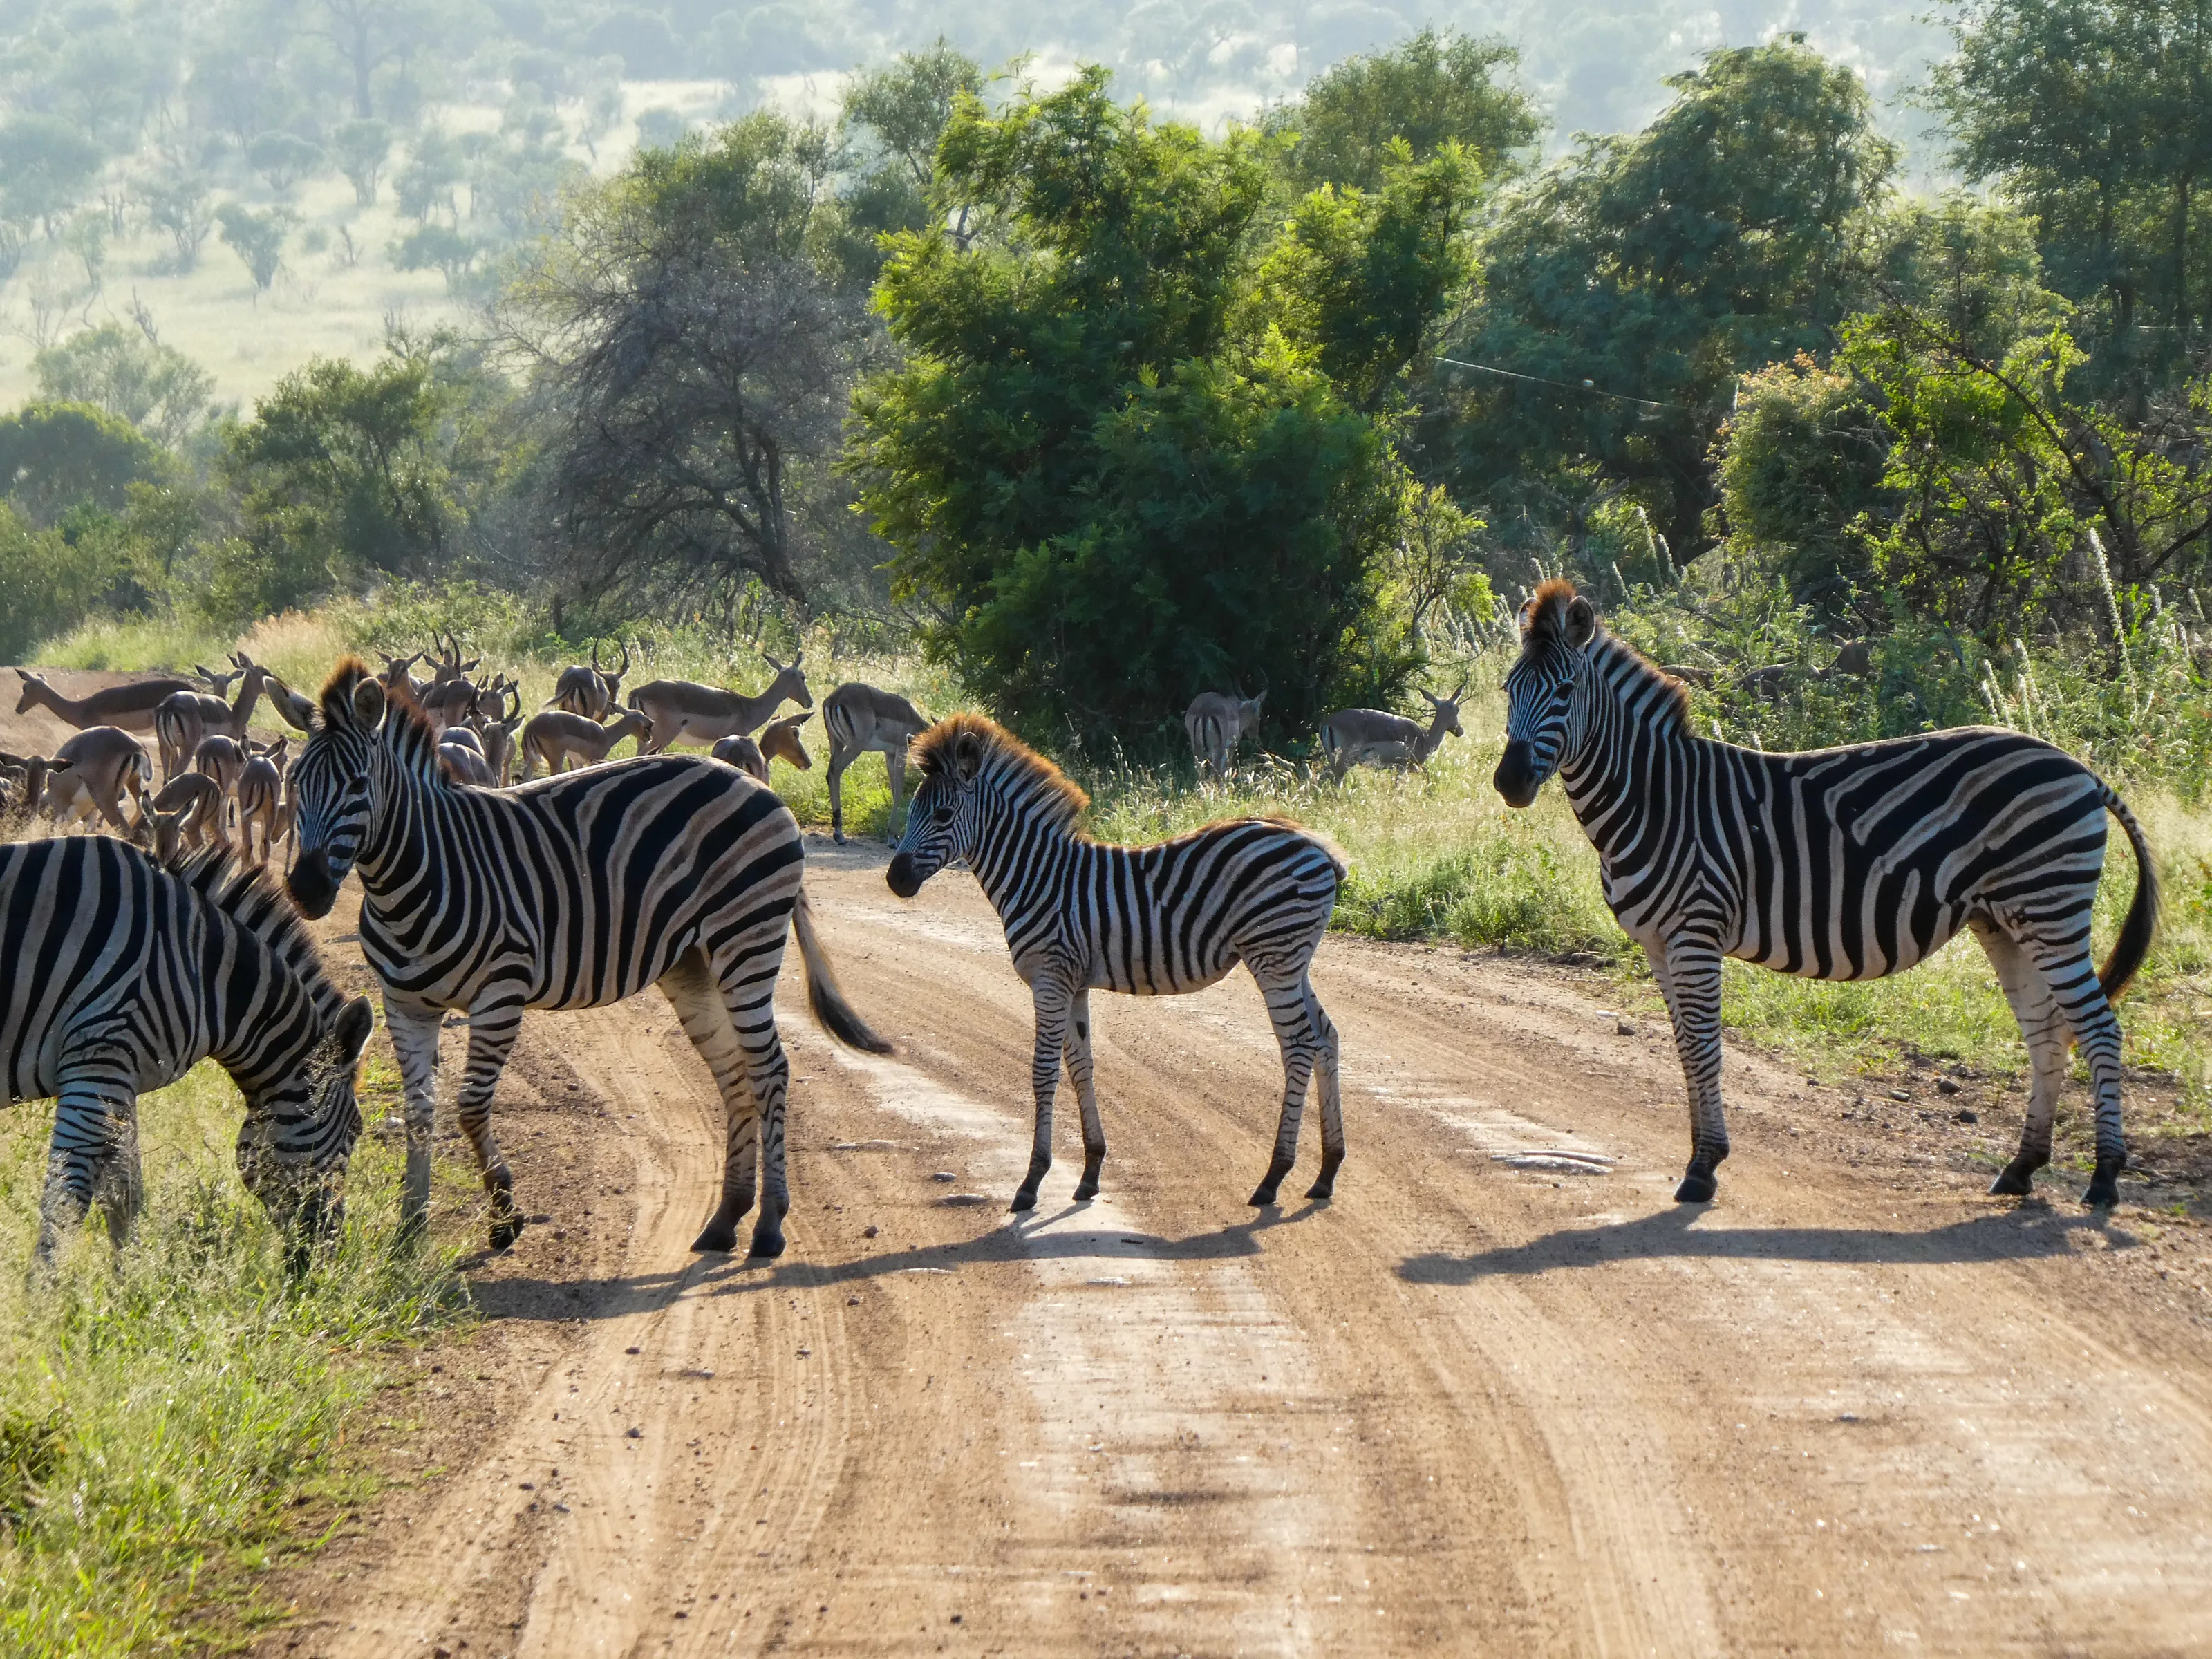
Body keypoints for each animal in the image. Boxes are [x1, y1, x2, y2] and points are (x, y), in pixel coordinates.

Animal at [0, 837, 374, 1263]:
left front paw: (134, 1277)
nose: (331, 1254)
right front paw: (45, 1285)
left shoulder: (119, 1075)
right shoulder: (96, 1064)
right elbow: (65, 1205)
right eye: (355, 1132)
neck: (204, 971)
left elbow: (125, 1198)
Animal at [284, 660, 890, 1257]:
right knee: (736, 1074)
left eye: (358, 785)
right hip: (693, 965)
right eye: (295, 784)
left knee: (770, 1071)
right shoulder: (404, 1004)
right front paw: (410, 1231)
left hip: (746, 942)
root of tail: (754, 782)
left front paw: (504, 1219)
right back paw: (725, 1219)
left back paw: (768, 1225)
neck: (416, 874)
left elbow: (471, 1108)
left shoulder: (500, 994)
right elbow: (418, 1115)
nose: (305, 890)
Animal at [886, 714, 1347, 1211]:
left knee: (1299, 1046)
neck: (1036, 876)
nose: (895, 880)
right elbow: (1080, 1066)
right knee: (1326, 1038)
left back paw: (1273, 1177)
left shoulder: (1050, 978)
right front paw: (1090, 1171)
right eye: (911, 812)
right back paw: (1327, 1171)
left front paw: (1031, 1181)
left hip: (1273, 957)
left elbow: (1044, 1072)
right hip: (1294, 962)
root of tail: (1318, 847)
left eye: (942, 816)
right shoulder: (1073, 983)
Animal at [1492, 579, 2160, 1208]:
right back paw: (2021, 1168)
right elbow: (1683, 1048)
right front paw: (1702, 1155)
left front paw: (1703, 1168)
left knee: (2099, 1028)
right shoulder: (1658, 944)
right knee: (2047, 1032)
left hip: (2050, 908)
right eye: (1508, 690)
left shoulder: (1695, 933)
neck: (1656, 798)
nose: (1510, 782)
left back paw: (2104, 1178)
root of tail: (2080, 768)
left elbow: (1705, 1048)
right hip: (2006, 921)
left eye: (1565, 692)